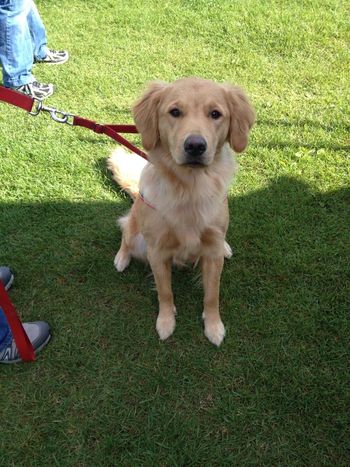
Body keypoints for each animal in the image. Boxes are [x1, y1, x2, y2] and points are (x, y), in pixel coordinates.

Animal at [107, 77, 254, 348]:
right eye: (175, 112)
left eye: (215, 114)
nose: (195, 145)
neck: (190, 188)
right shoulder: (157, 251)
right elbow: (165, 292)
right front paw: (166, 322)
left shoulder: (211, 252)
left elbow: (212, 294)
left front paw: (213, 326)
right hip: (136, 231)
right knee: (126, 233)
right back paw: (121, 258)